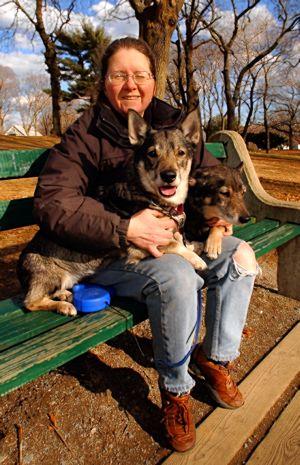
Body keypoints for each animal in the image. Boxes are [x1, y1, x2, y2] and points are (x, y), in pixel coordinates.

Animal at [18, 108, 206, 316]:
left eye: (181, 153)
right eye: (152, 153)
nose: (169, 176)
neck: (149, 195)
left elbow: (179, 240)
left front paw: (192, 246)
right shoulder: (144, 245)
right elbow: (174, 244)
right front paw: (196, 259)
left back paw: (64, 296)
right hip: (51, 277)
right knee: (30, 302)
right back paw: (63, 306)